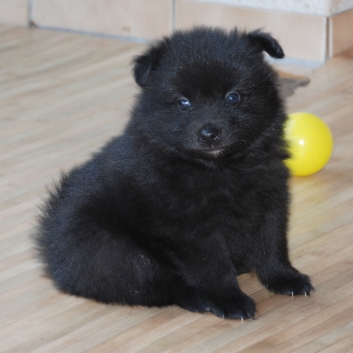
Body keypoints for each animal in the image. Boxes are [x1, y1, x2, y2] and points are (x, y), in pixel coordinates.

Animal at [35, 27, 310, 320]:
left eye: (233, 97)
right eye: (183, 103)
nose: (209, 133)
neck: (219, 169)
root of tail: (51, 251)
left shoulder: (270, 201)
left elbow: (272, 246)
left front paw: (284, 278)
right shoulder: (191, 228)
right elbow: (212, 266)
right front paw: (229, 299)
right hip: (113, 252)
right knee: (154, 286)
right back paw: (198, 298)